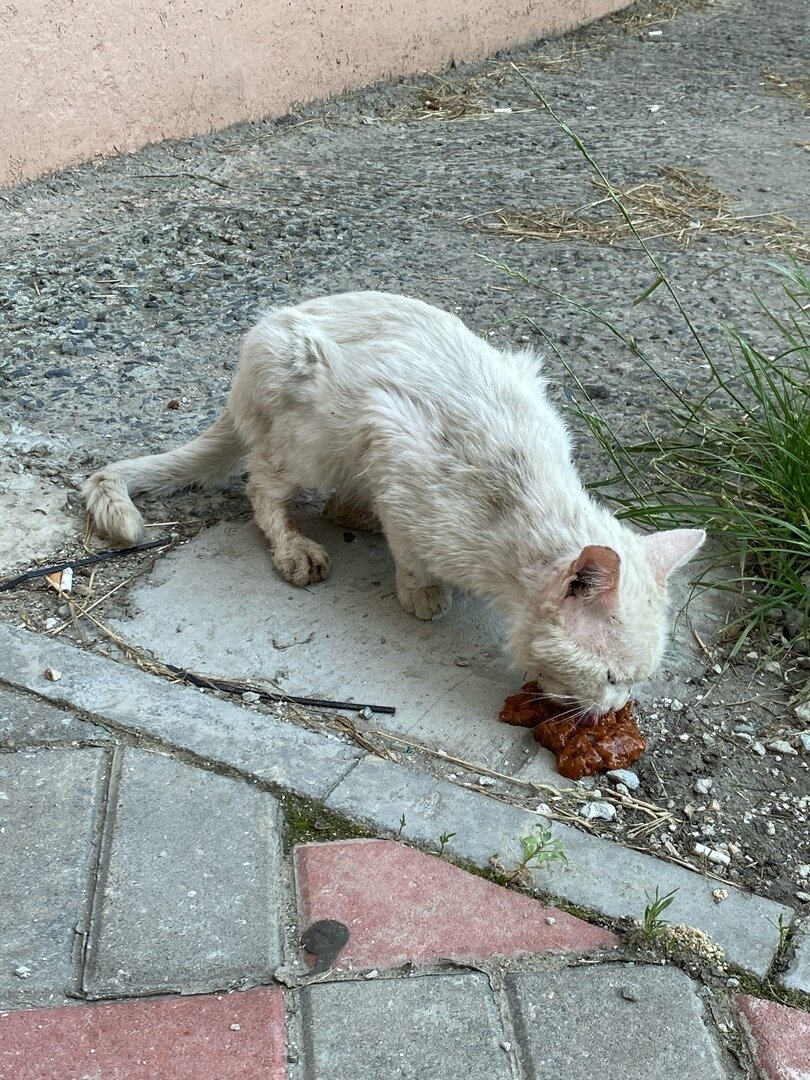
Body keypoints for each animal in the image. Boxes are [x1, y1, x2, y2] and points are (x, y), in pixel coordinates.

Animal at [82, 293, 704, 717]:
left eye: (638, 680)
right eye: (612, 677)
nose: (617, 710)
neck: (517, 503)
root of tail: (240, 381)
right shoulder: (394, 450)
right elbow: (409, 546)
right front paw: (421, 591)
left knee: (331, 502)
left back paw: (357, 515)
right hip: (312, 427)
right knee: (262, 485)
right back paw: (297, 547)